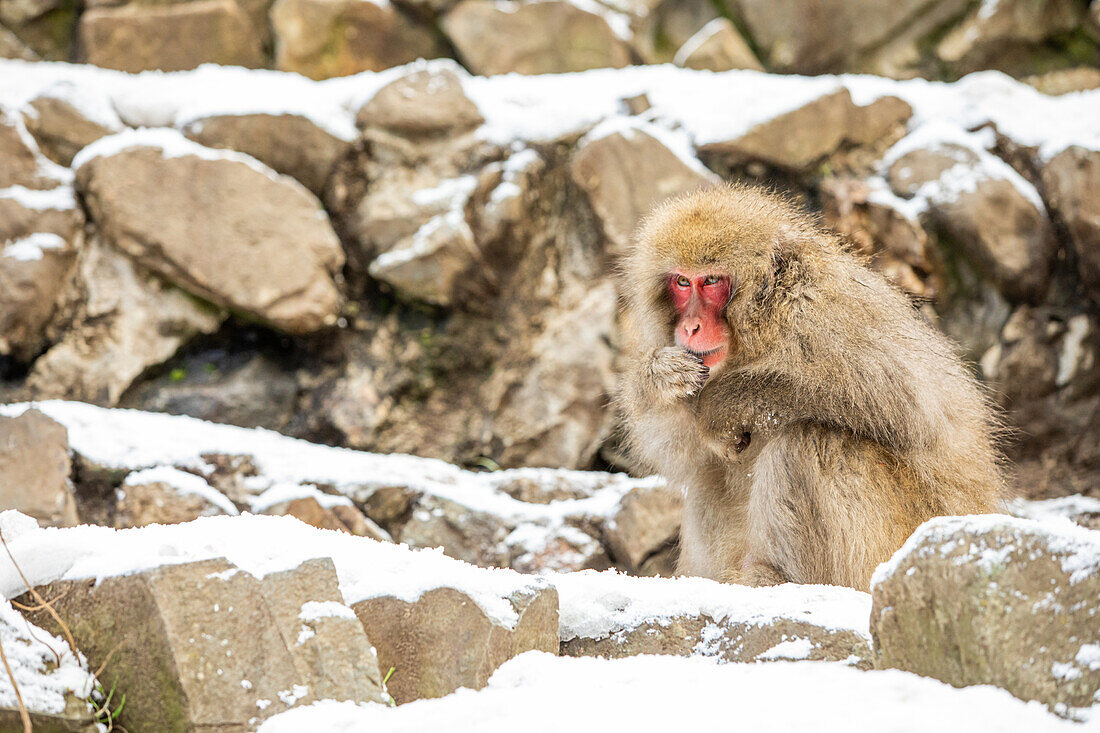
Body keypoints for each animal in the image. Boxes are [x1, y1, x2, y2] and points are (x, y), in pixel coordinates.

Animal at [620, 182, 1007, 589]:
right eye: (681, 282)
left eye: (711, 281)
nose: (690, 326)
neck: (762, 324)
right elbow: (682, 454)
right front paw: (656, 378)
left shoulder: (819, 310)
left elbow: (904, 401)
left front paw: (724, 407)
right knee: (709, 476)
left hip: (891, 546)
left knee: (810, 439)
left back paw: (778, 577)